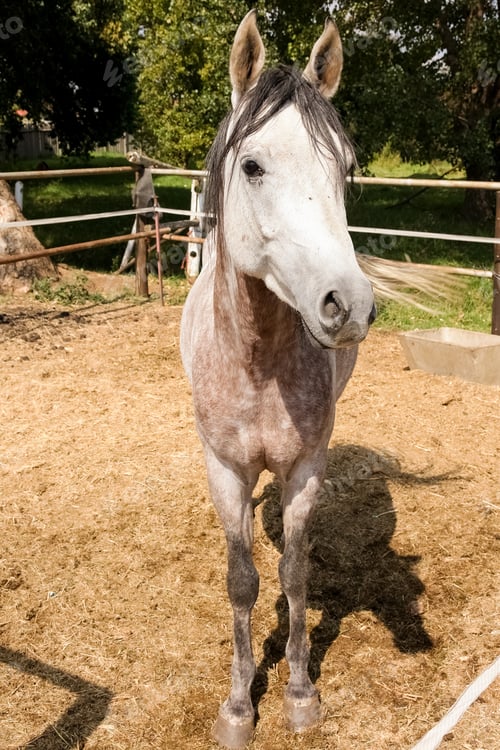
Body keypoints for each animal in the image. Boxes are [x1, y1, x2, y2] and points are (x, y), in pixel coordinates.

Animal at [180, 11, 376, 748]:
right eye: (253, 165)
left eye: (345, 167)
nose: (348, 304)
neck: (259, 360)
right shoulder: (225, 470)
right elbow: (242, 581)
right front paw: (239, 706)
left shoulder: (306, 467)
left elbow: (294, 573)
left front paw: (298, 693)